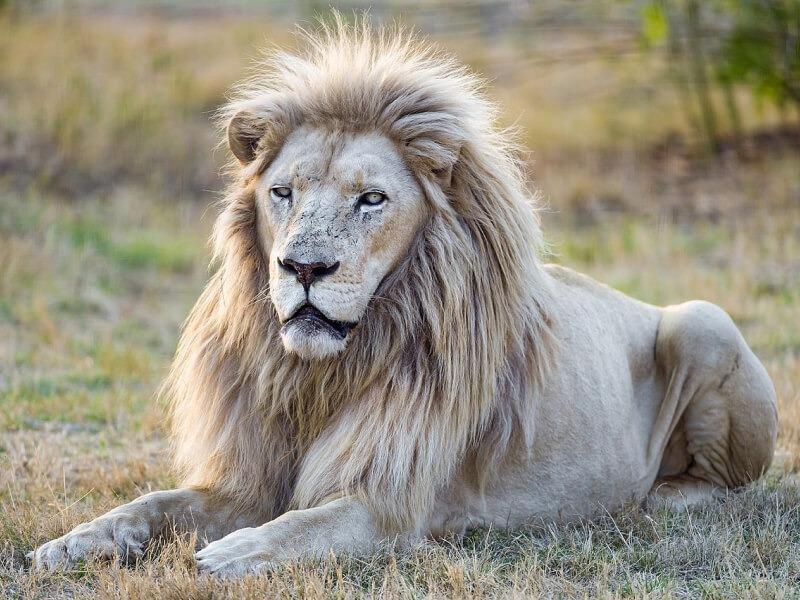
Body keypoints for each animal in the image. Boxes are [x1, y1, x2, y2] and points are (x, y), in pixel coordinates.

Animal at [32, 19, 778, 577]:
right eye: (283, 193)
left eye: (371, 199)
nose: (303, 266)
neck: (323, 376)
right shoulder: (247, 478)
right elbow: (152, 503)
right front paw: (71, 543)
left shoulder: (395, 505)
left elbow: (306, 525)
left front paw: (229, 555)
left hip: (704, 320)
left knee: (729, 487)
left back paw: (656, 498)